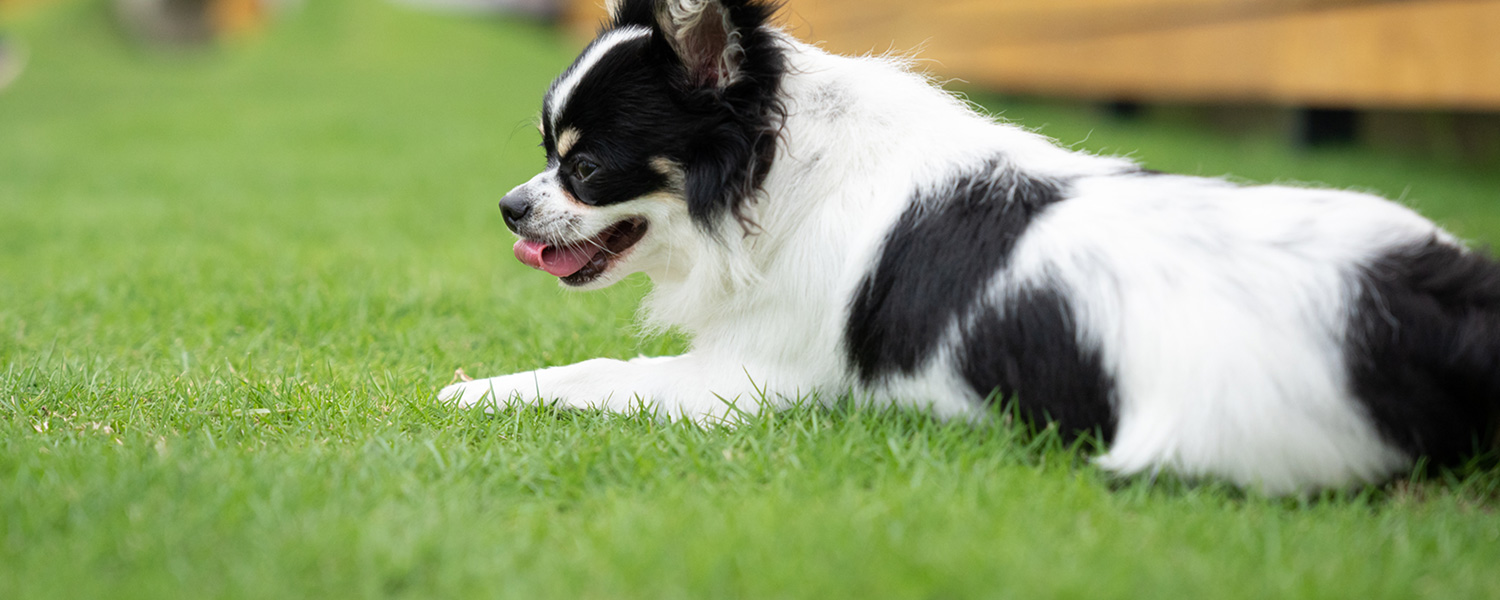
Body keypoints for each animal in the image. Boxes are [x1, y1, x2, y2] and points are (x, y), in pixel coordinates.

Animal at [441, 0, 1500, 492]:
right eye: (546, 154)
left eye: (585, 168)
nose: (507, 207)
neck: (779, 177)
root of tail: (1431, 298)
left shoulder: (742, 384)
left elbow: (591, 372)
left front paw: (476, 391)